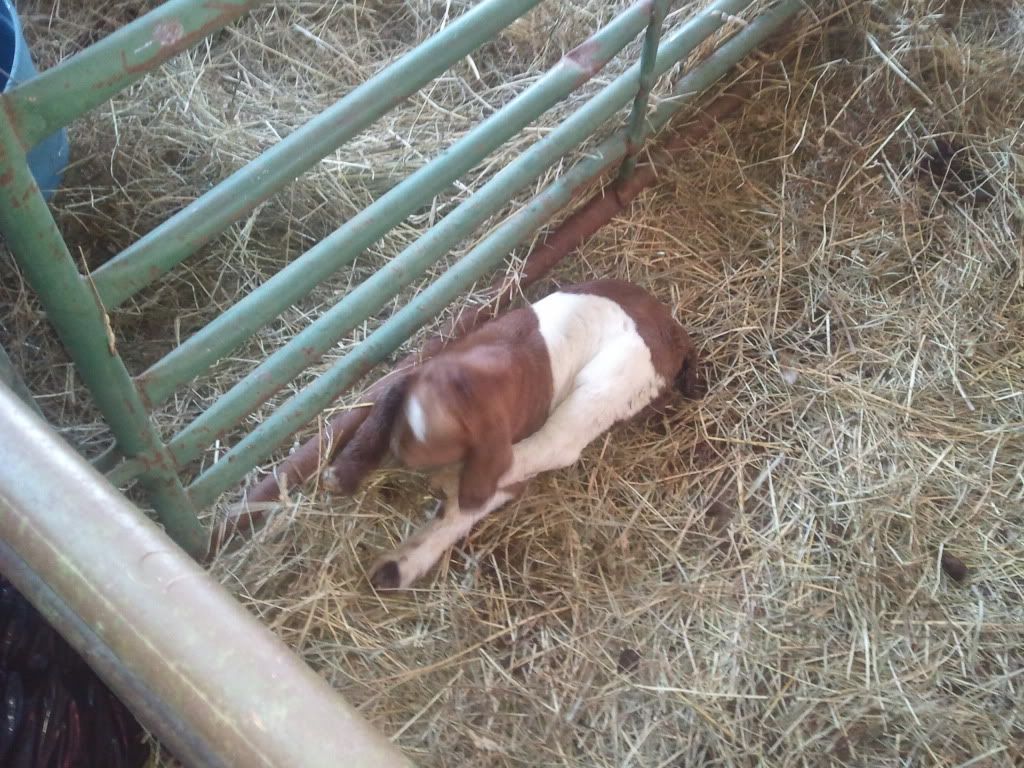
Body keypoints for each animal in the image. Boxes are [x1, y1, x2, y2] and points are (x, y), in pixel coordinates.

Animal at [323, 279, 700, 590]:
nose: (400, 455)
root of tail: (673, 327)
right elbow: (383, 405)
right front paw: (341, 476)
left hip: (612, 380)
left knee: (557, 443)